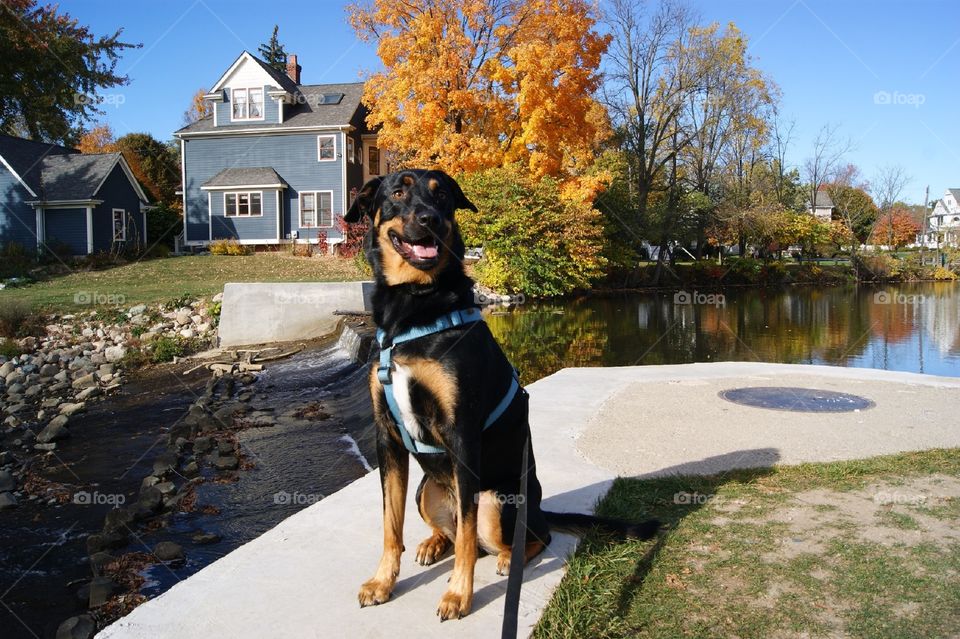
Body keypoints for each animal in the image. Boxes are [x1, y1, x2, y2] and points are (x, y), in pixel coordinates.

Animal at [346, 169, 660, 620]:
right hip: (427, 489)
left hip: (497, 499)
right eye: (398, 192)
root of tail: (539, 508)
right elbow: (391, 524)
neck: (416, 306)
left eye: (443, 196)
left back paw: (510, 556)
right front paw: (382, 581)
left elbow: (464, 536)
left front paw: (458, 595)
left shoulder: (462, 433)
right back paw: (433, 542)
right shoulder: (386, 436)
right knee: (454, 531)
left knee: (524, 537)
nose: (430, 220)